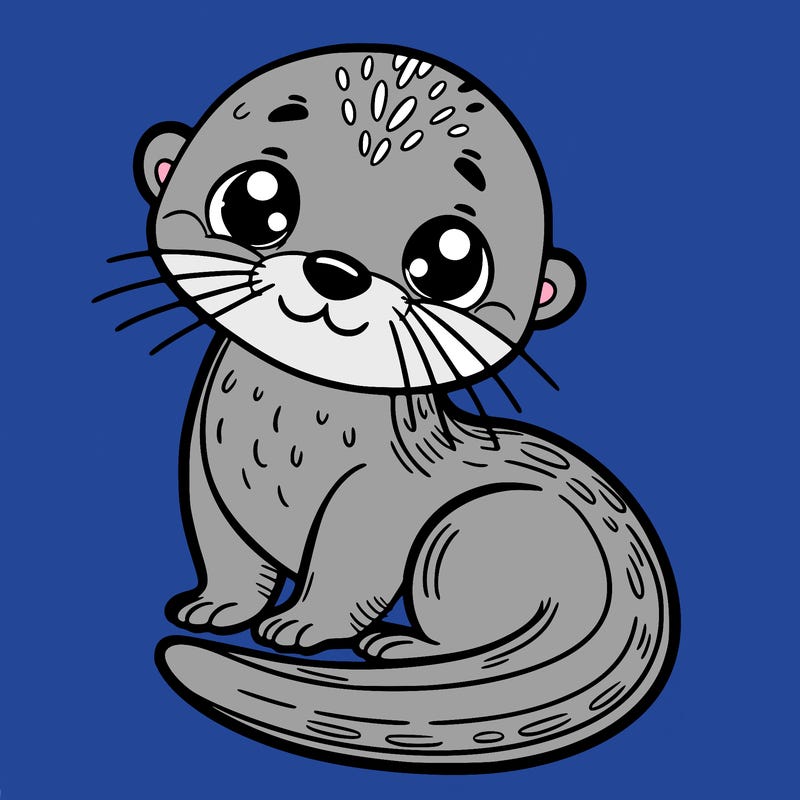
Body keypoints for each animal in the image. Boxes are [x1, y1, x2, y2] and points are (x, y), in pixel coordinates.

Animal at [103, 45, 679, 772]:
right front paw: (216, 607)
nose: (335, 270)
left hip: (466, 531)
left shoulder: (375, 497)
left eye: (450, 260)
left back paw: (402, 646)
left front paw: (302, 624)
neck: (283, 436)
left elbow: (350, 568)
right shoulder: (205, 473)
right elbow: (225, 551)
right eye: (256, 200)